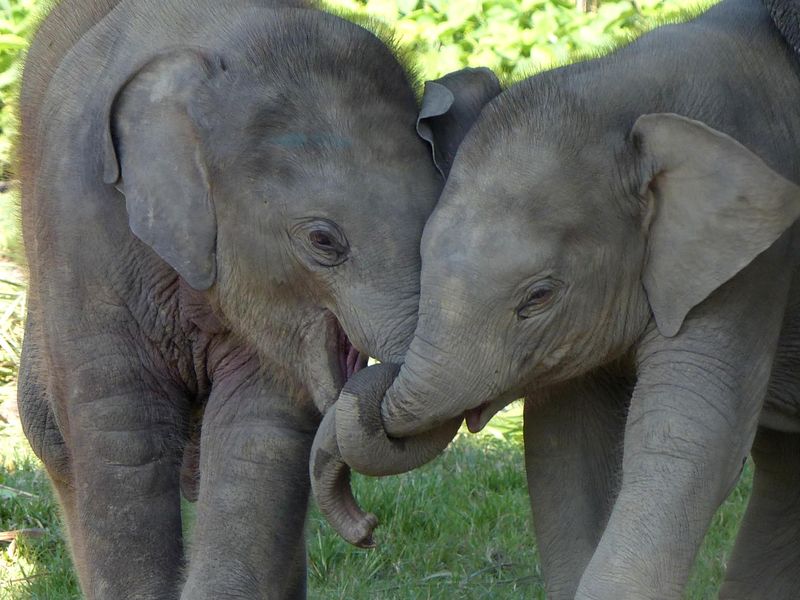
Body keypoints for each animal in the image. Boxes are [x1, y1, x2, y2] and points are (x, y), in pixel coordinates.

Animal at [14, 2, 500, 596]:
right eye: (323, 241)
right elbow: (122, 435)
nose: (369, 530)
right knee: (52, 435)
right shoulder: (82, 234)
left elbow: (257, 444)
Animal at [316, 0, 800, 596]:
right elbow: (563, 447)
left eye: (539, 296)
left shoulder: (750, 267)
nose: (369, 529)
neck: (629, 94)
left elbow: (689, 437)